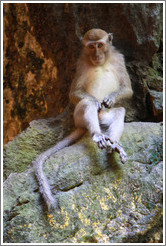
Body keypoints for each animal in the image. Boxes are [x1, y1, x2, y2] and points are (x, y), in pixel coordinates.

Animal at [32, 27, 134, 210]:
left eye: (100, 45)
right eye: (91, 47)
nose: (96, 54)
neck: (101, 63)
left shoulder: (119, 58)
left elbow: (127, 88)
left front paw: (110, 98)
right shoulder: (80, 63)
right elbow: (74, 93)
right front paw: (95, 101)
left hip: (104, 116)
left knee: (119, 111)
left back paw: (113, 144)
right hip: (78, 117)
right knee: (87, 103)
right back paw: (97, 134)